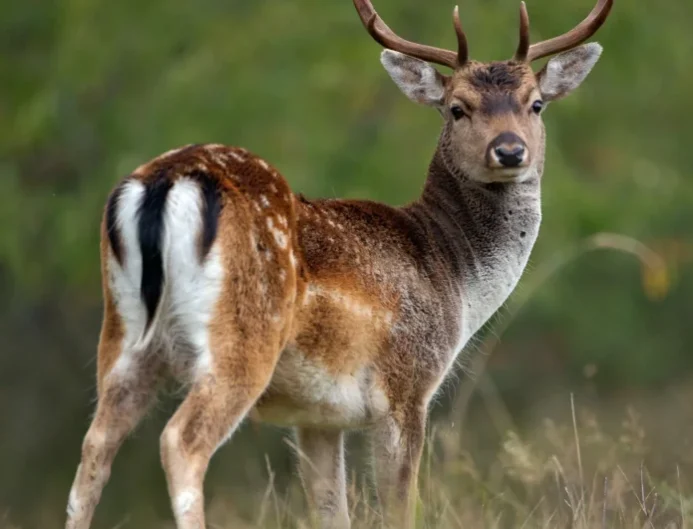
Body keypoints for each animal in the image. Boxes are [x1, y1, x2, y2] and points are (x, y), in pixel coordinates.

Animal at [65, 0, 613, 527]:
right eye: (458, 109)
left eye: (535, 104)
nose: (510, 149)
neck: (454, 276)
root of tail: (164, 182)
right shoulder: (406, 386)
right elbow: (399, 508)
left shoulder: (318, 416)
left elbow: (332, 510)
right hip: (242, 337)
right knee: (180, 442)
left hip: (124, 336)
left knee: (93, 451)